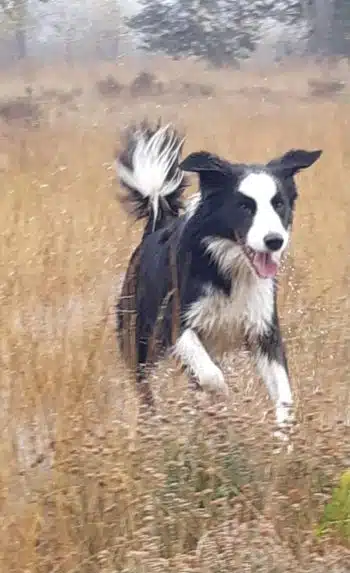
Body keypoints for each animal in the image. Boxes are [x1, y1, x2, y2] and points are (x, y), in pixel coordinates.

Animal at [115, 120, 322, 438]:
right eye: (245, 206)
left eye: (279, 204)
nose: (274, 241)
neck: (229, 269)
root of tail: (154, 227)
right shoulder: (175, 324)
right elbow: (212, 376)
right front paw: (222, 400)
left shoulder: (263, 330)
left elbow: (284, 393)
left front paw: (282, 436)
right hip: (139, 341)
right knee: (146, 389)